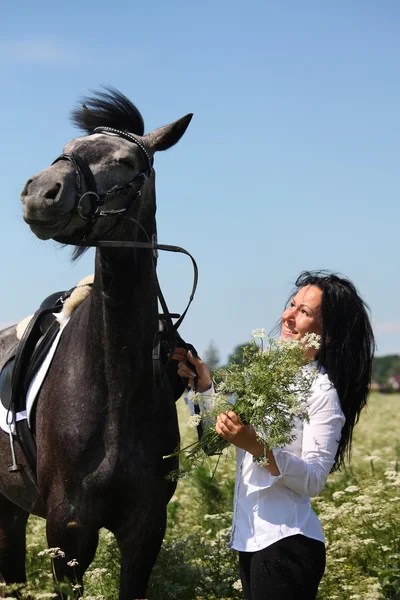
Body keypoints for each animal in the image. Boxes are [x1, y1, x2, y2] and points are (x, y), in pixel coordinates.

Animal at [0, 86, 194, 596]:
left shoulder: (145, 530)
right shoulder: (68, 534)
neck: (114, 384)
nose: (40, 193)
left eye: (125, 161)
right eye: (68, 146)